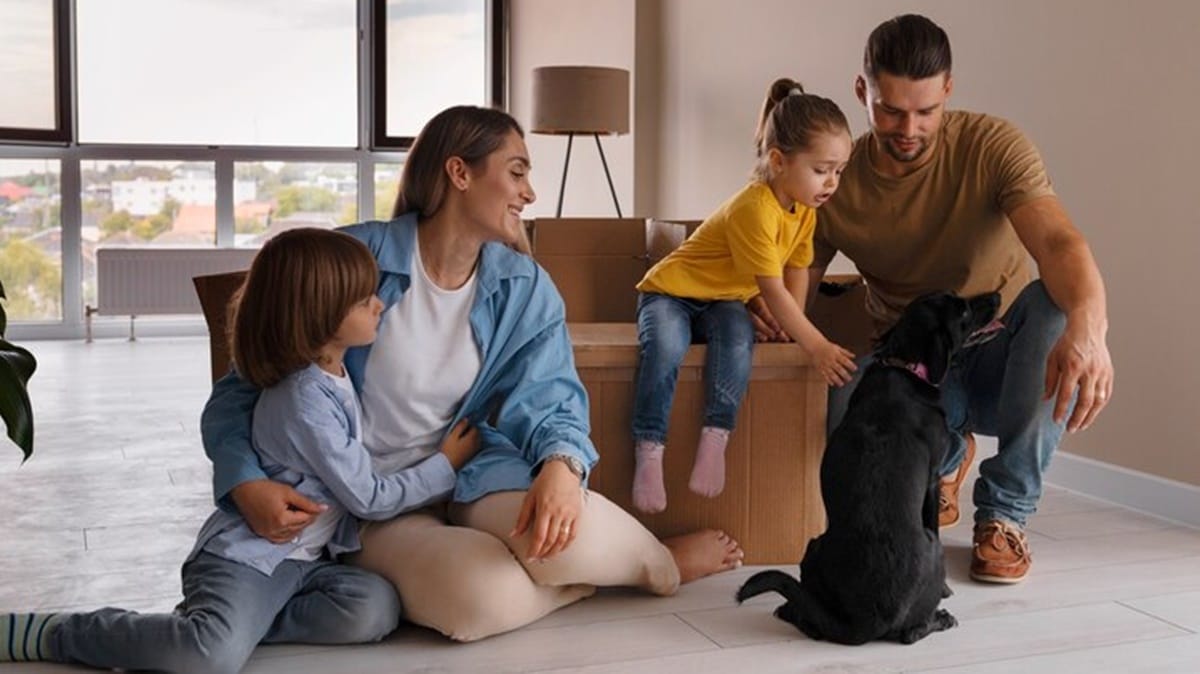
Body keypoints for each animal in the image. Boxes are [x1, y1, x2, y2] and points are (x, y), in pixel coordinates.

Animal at [734, 291, 998, 642]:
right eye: (964, 311)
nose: (996, 296)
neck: (904, 364)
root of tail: (868, 620)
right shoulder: (932, 480)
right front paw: (945, 593)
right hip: (929, 549)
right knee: (911, 633)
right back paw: (941, 618)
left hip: (813, 547)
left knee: (814, 622)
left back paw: (790, 609)